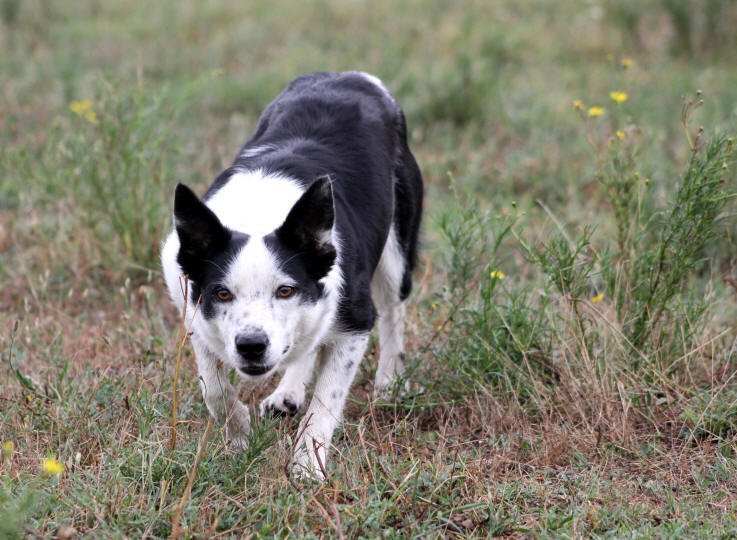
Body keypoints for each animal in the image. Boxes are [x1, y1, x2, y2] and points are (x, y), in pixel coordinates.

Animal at [163, 70, 422, 476]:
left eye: (285, 290)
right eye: (222, 293)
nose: (251, 346)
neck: (257, 213)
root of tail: (351, 76)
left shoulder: (355, 320)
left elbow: (326, 402)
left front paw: (307, 467)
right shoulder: (192, 306)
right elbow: (214, 387)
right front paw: (239, 436)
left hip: (396, 250)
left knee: (394, 308)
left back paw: (390, 381)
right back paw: (287, 393)